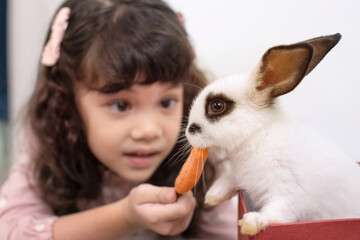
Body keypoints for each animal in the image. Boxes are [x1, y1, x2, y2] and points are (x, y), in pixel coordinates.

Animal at [186, 33, 360, 236]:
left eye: (217, 106)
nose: (188, 131)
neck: (257, 135)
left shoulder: (290, 194)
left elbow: (277, 212)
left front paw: (251, 222)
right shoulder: (241, 176)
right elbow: (231, 178)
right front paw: (213, 195)